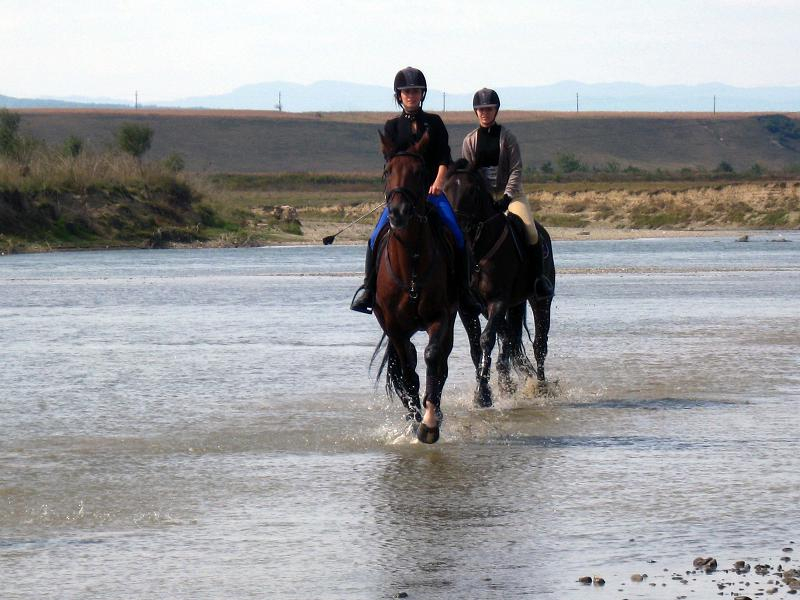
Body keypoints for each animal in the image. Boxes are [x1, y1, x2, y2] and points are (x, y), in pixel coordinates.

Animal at [374, 132, 460, 440]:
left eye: (420, 172)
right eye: (387, 171)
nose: (398, 212)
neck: (410, 261)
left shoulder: (441, 316)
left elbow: (433, 358)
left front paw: (430, 422)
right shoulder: (394, 326)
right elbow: (407, 370)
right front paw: (414, 420)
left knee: (442, 361)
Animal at [444, 158, 556, 408]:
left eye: (472, 190)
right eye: (444, 189)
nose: (456, 226)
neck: (478, 252)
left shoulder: (498, 301)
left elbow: (487, 340)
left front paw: (482, 394)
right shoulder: (468, 308)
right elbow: (477, 347)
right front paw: (488, 389)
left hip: (539, 300)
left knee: (539, 344)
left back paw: (540, 387)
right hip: (513, 304)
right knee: (509, 336)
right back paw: (509, 381)